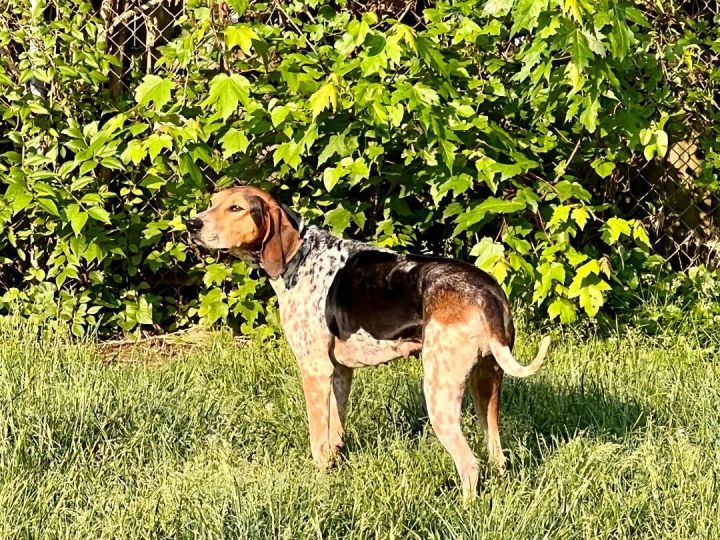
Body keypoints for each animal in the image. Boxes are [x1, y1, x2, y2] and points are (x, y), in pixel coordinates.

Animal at [187, 186, 552, 502]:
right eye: (212, 202)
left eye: (236, 208)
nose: (192, 224)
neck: (301, 255)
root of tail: (487, 292)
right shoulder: (339, 372)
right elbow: (335, 434)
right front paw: (335, 471)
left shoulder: (314, 371)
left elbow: (318, 440)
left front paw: (319, 483)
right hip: (486, 385)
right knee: (497, 456)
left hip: (440, 391)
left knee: (470, 465)